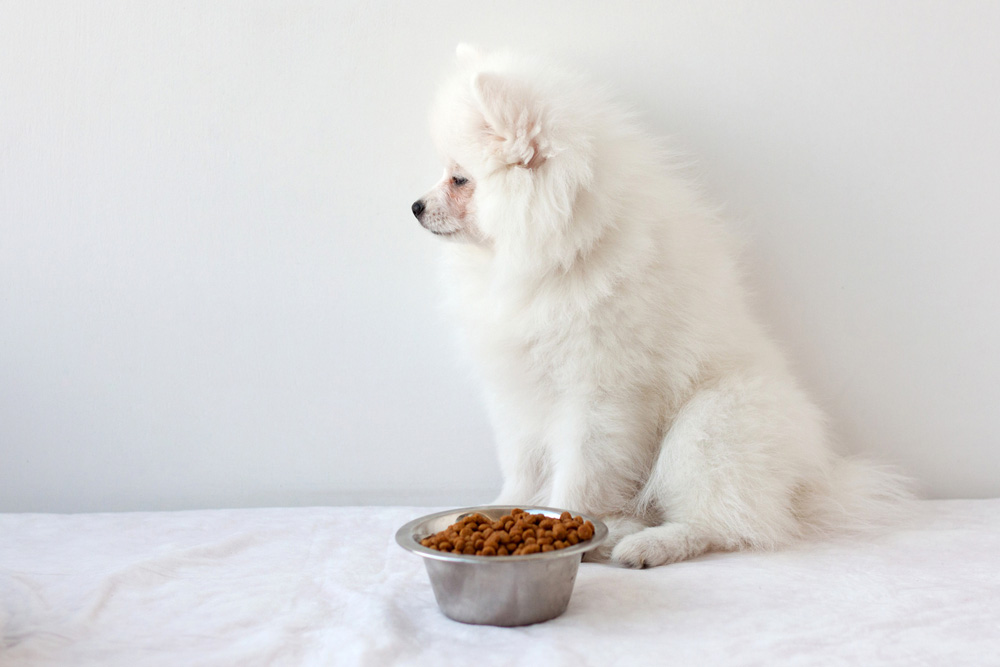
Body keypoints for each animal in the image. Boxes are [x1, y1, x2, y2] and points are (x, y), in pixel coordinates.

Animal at [410, 45, 912, 568]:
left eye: (459, 179)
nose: (415, 207)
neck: (561, 254)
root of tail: (809, 484)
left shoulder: (600, 394)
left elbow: (579, 475)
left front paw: (565, 526)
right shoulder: (520, 389)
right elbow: (523, 466)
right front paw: (502, 508)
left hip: (710, 425)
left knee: (723, 522)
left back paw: (644, 543)